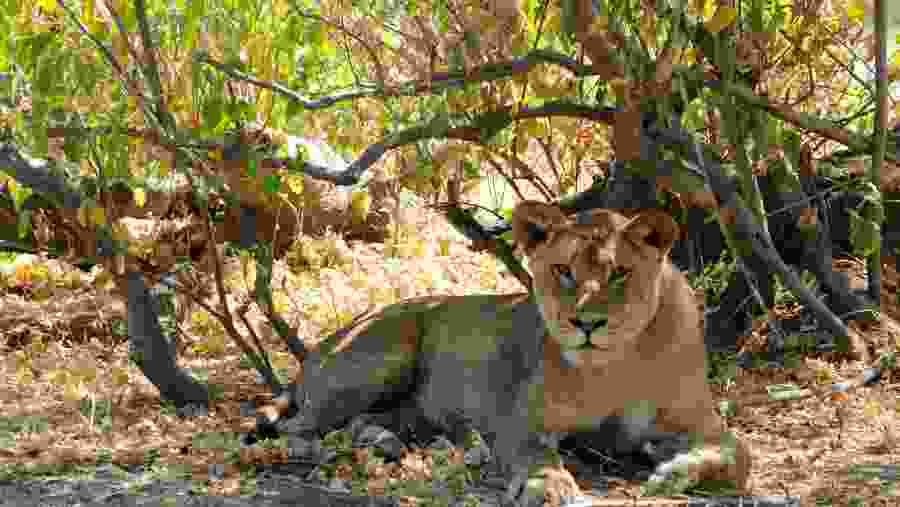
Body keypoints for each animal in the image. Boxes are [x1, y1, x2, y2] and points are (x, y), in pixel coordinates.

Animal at [250, 201, 753, 505]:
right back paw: (315, 450)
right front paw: (550, 487)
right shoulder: (522, 420)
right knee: (298, 426)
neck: (615, 364)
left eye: (618, 274)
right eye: (563, 271)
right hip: (386, 352)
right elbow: (537, 456)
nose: (587, 324)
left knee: (361, 423)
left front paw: (676, 471)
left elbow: (740, 455)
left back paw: (387, 442)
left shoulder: (700, 422)